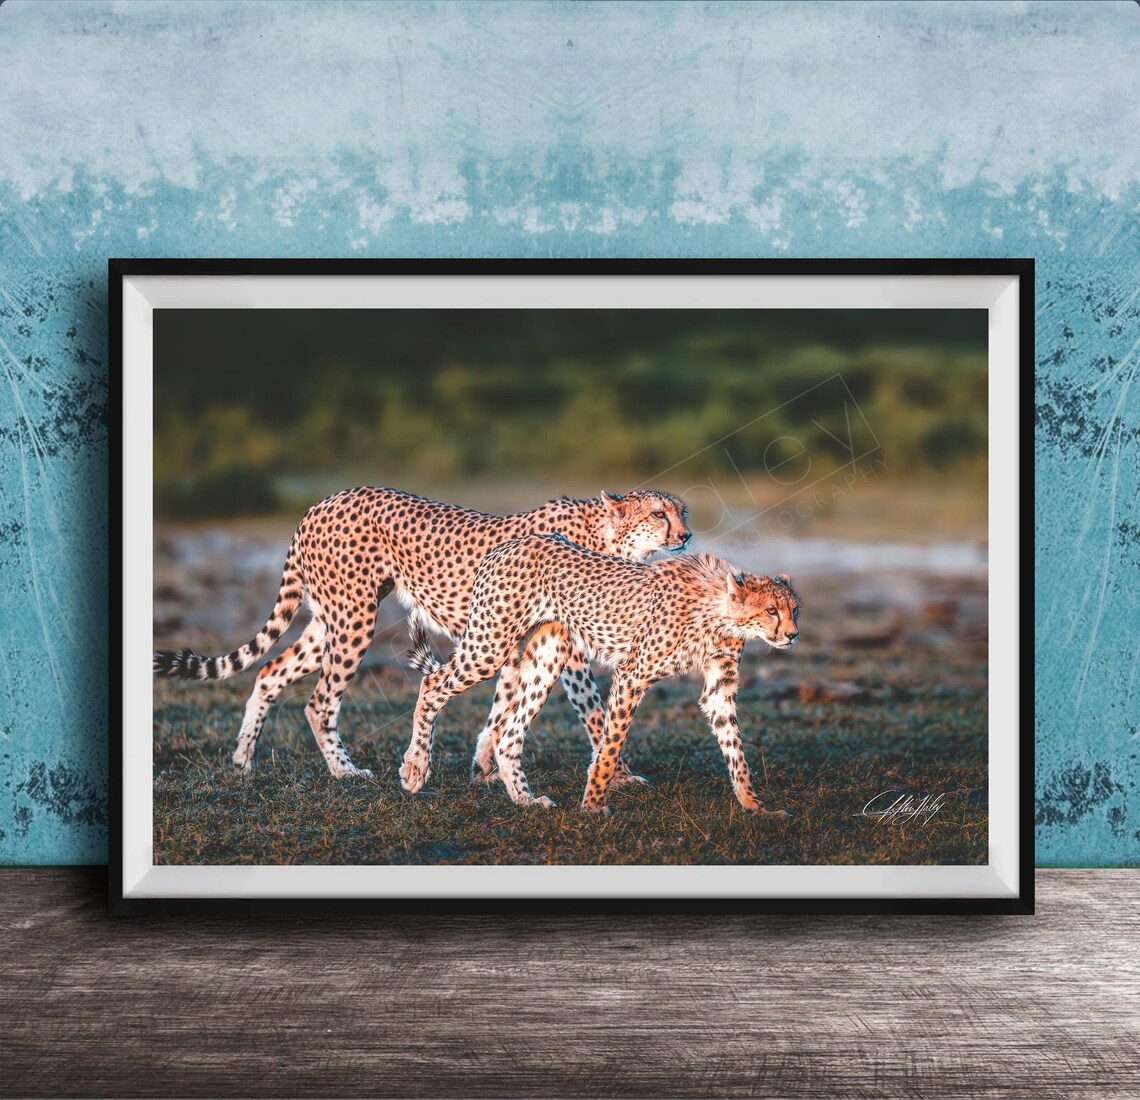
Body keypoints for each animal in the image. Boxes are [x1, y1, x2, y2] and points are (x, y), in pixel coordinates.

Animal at [153, 487, 690, 779]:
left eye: (682, 511)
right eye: (658, 513)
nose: (686, 536)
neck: (608, 540)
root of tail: (323, 501)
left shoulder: (515, 642)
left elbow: (500, 706)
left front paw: (484, 764)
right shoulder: (565, 648)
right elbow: (594, 711)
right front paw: (618, 775)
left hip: (330, 618)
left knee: (269, 671)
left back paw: (243, 761)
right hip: (354, 618)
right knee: (320, 701)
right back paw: (345, 772)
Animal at [402, 532, 800, 817]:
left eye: (794, 609)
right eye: (771, 610)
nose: (793, 635)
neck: (719, 611)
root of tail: (506, 545)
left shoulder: (719, 686)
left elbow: (735, 748)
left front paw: (754, 806)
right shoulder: (632, 675)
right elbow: (610, 745)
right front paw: (593, 804)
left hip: (548, 657)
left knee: (508, 734)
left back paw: (526, 800)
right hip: (490, 646)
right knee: (432, 684)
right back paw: (415, 770)